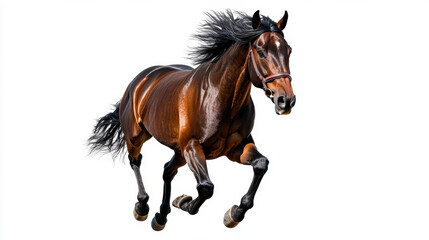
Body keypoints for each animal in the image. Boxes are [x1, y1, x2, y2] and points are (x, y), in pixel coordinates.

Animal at [87, 10, 294, 232]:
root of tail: (142, 79)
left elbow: (261, 164)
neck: (221, 99)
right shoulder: (193, 146)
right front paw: (184, 202)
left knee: (167, 171)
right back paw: (142, 207)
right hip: (138, 136)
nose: (286, 100)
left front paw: (234, 214)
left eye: (289, 50)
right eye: (261, 51)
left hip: (179, 151)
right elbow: (206, 188)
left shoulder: (236, 148)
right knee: (136, 161)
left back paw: (161, 216)